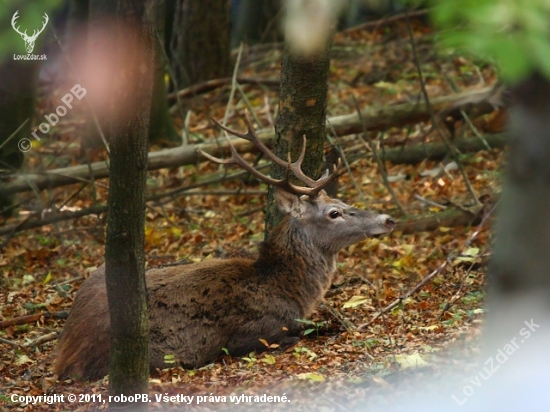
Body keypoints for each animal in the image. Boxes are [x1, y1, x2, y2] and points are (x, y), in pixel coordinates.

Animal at [52, 114, 396, 382]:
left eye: (340, 202)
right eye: (334, 213)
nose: (387, 218)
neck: (288, 290)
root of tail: (67, 347)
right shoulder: (253, 330)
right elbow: (298, 334)